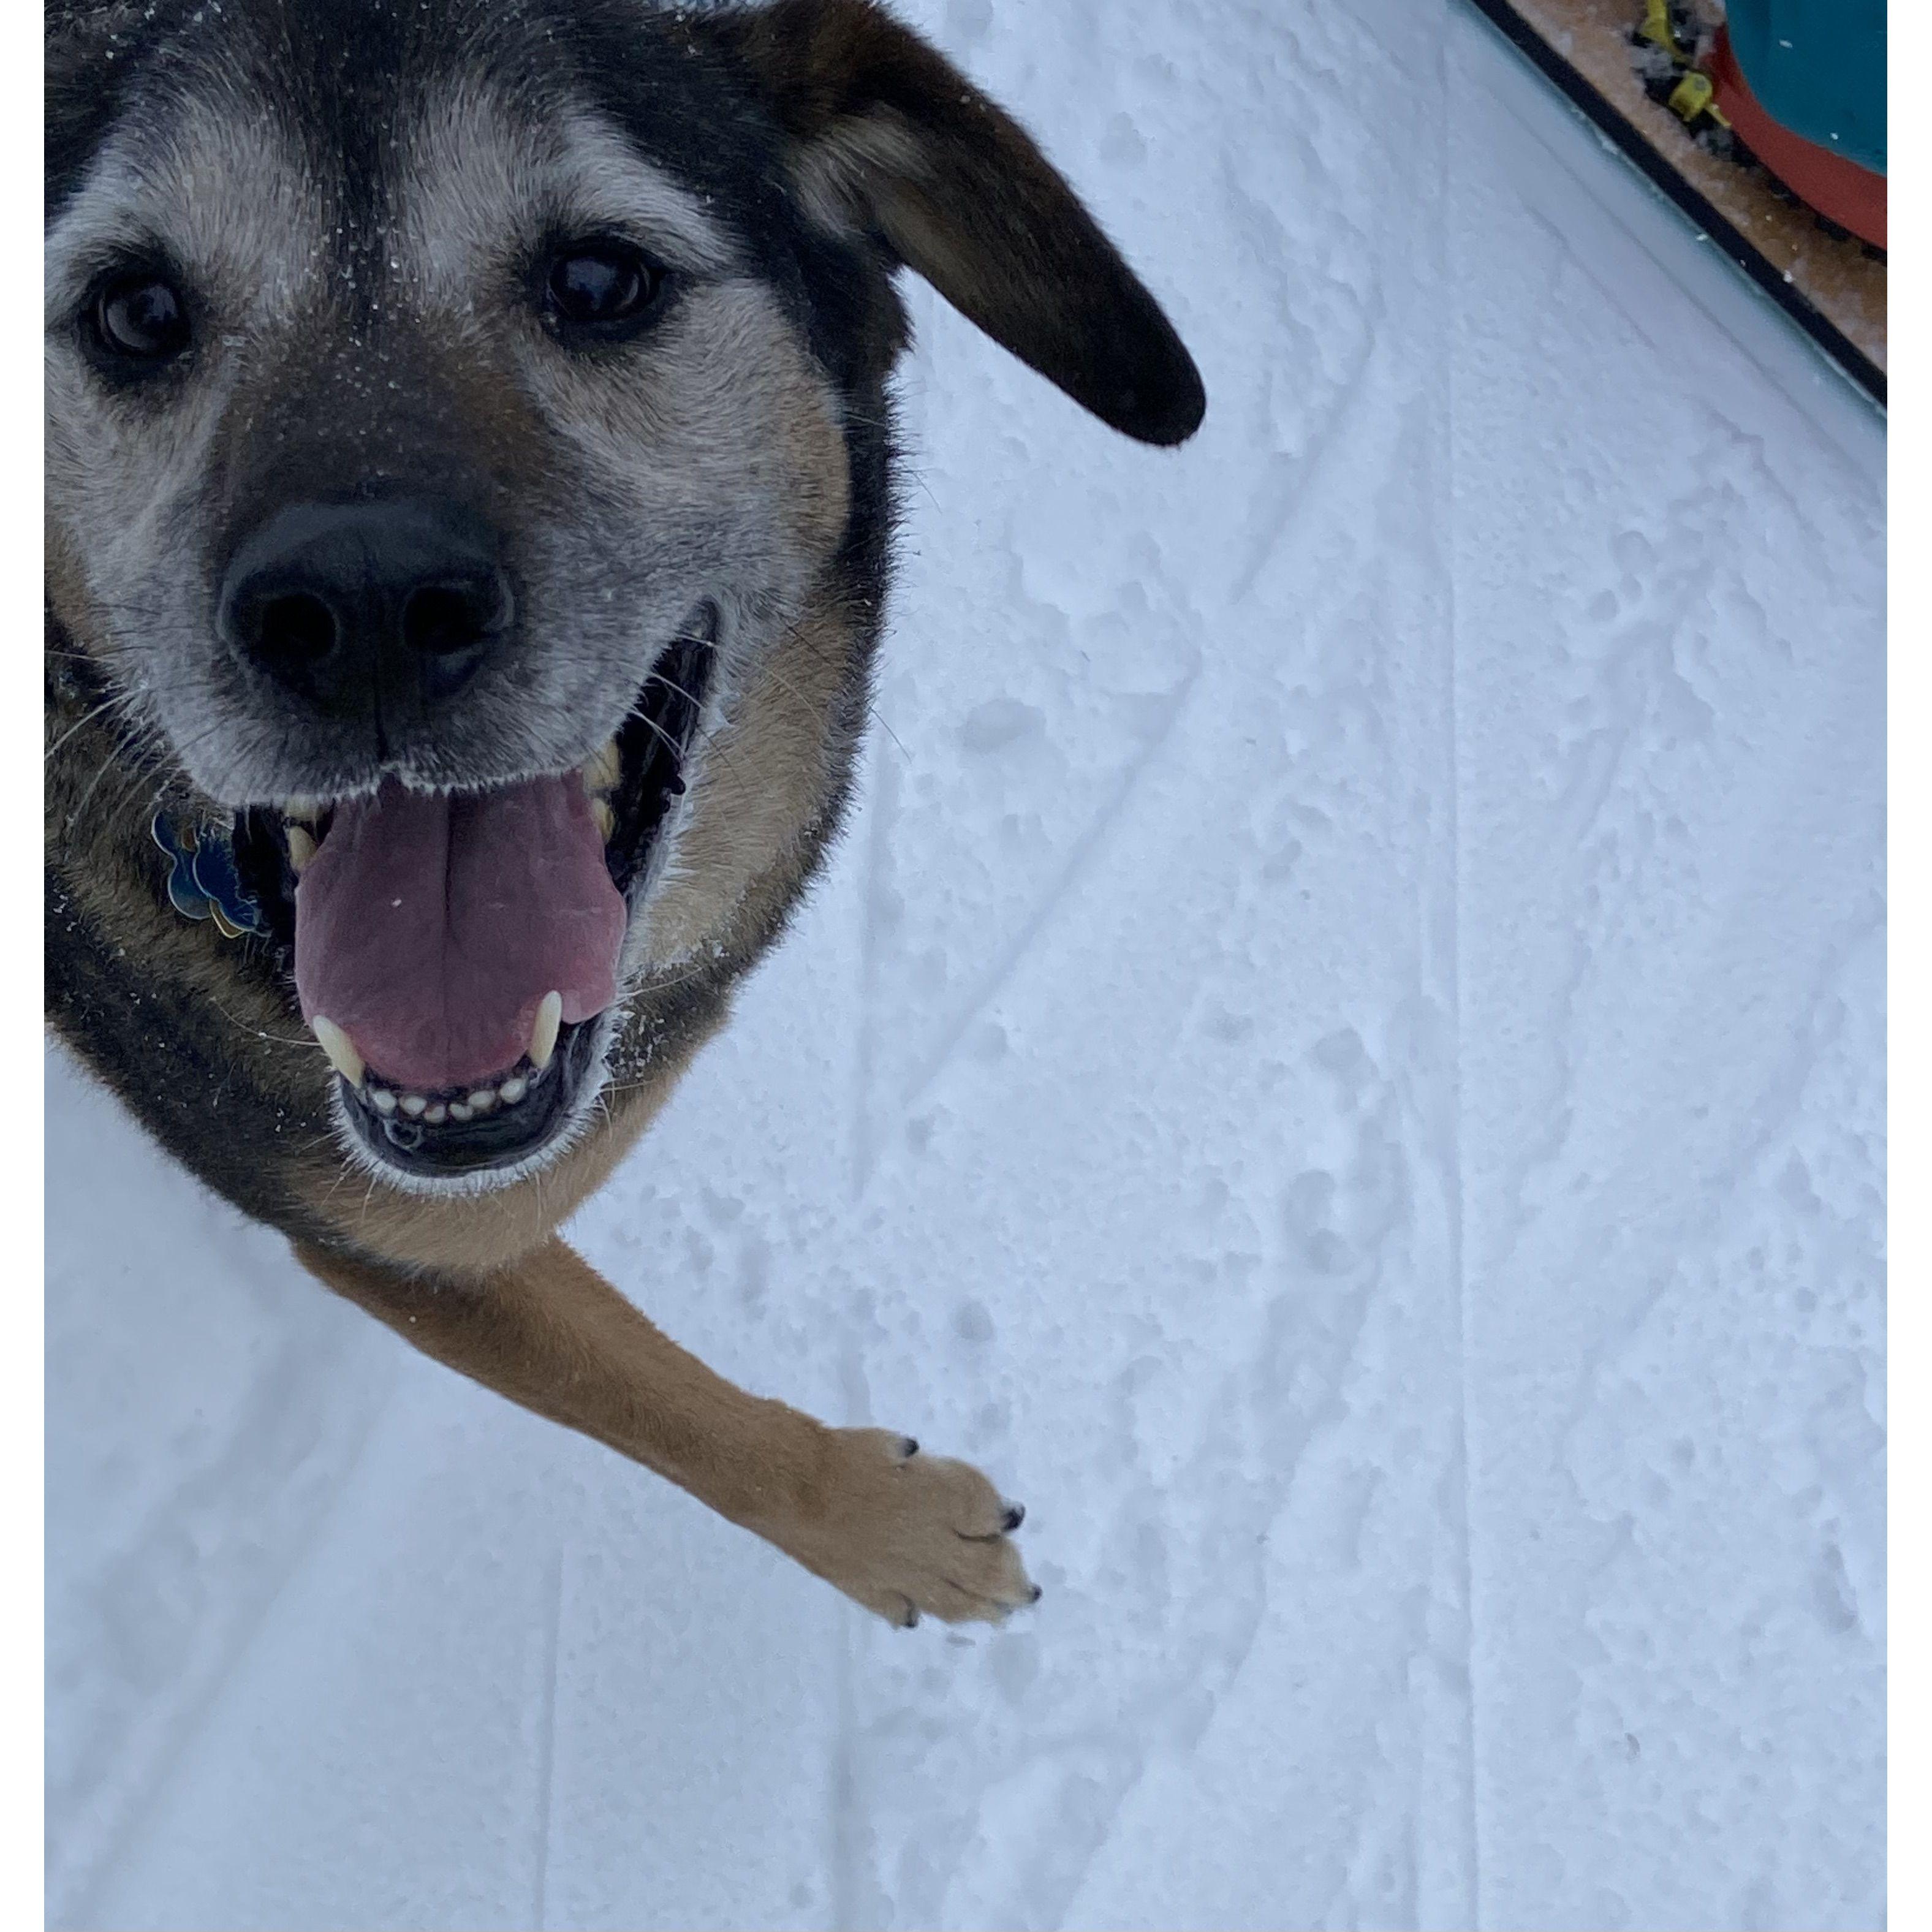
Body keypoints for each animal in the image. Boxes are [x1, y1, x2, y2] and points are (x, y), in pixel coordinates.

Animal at [45, 0, 1197, 1631]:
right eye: (134, 312)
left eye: (600, 280)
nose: (361, 605)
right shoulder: (395, 1230)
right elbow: (643, 1393)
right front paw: (891, 1525)